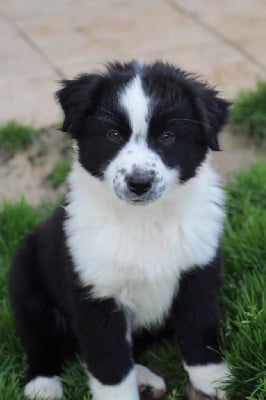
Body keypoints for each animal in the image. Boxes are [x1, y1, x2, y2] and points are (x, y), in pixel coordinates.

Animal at [9, 60, 231, 400]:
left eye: (167, 137)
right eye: (113, 135)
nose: (139, 183)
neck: (143, 220)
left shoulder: (198, 270)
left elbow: (200, 328)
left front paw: (215, 380)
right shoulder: (95, 294)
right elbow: (109, 361)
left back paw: (145, 380)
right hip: (25, 283)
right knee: (40, 341)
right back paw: (43, 385)